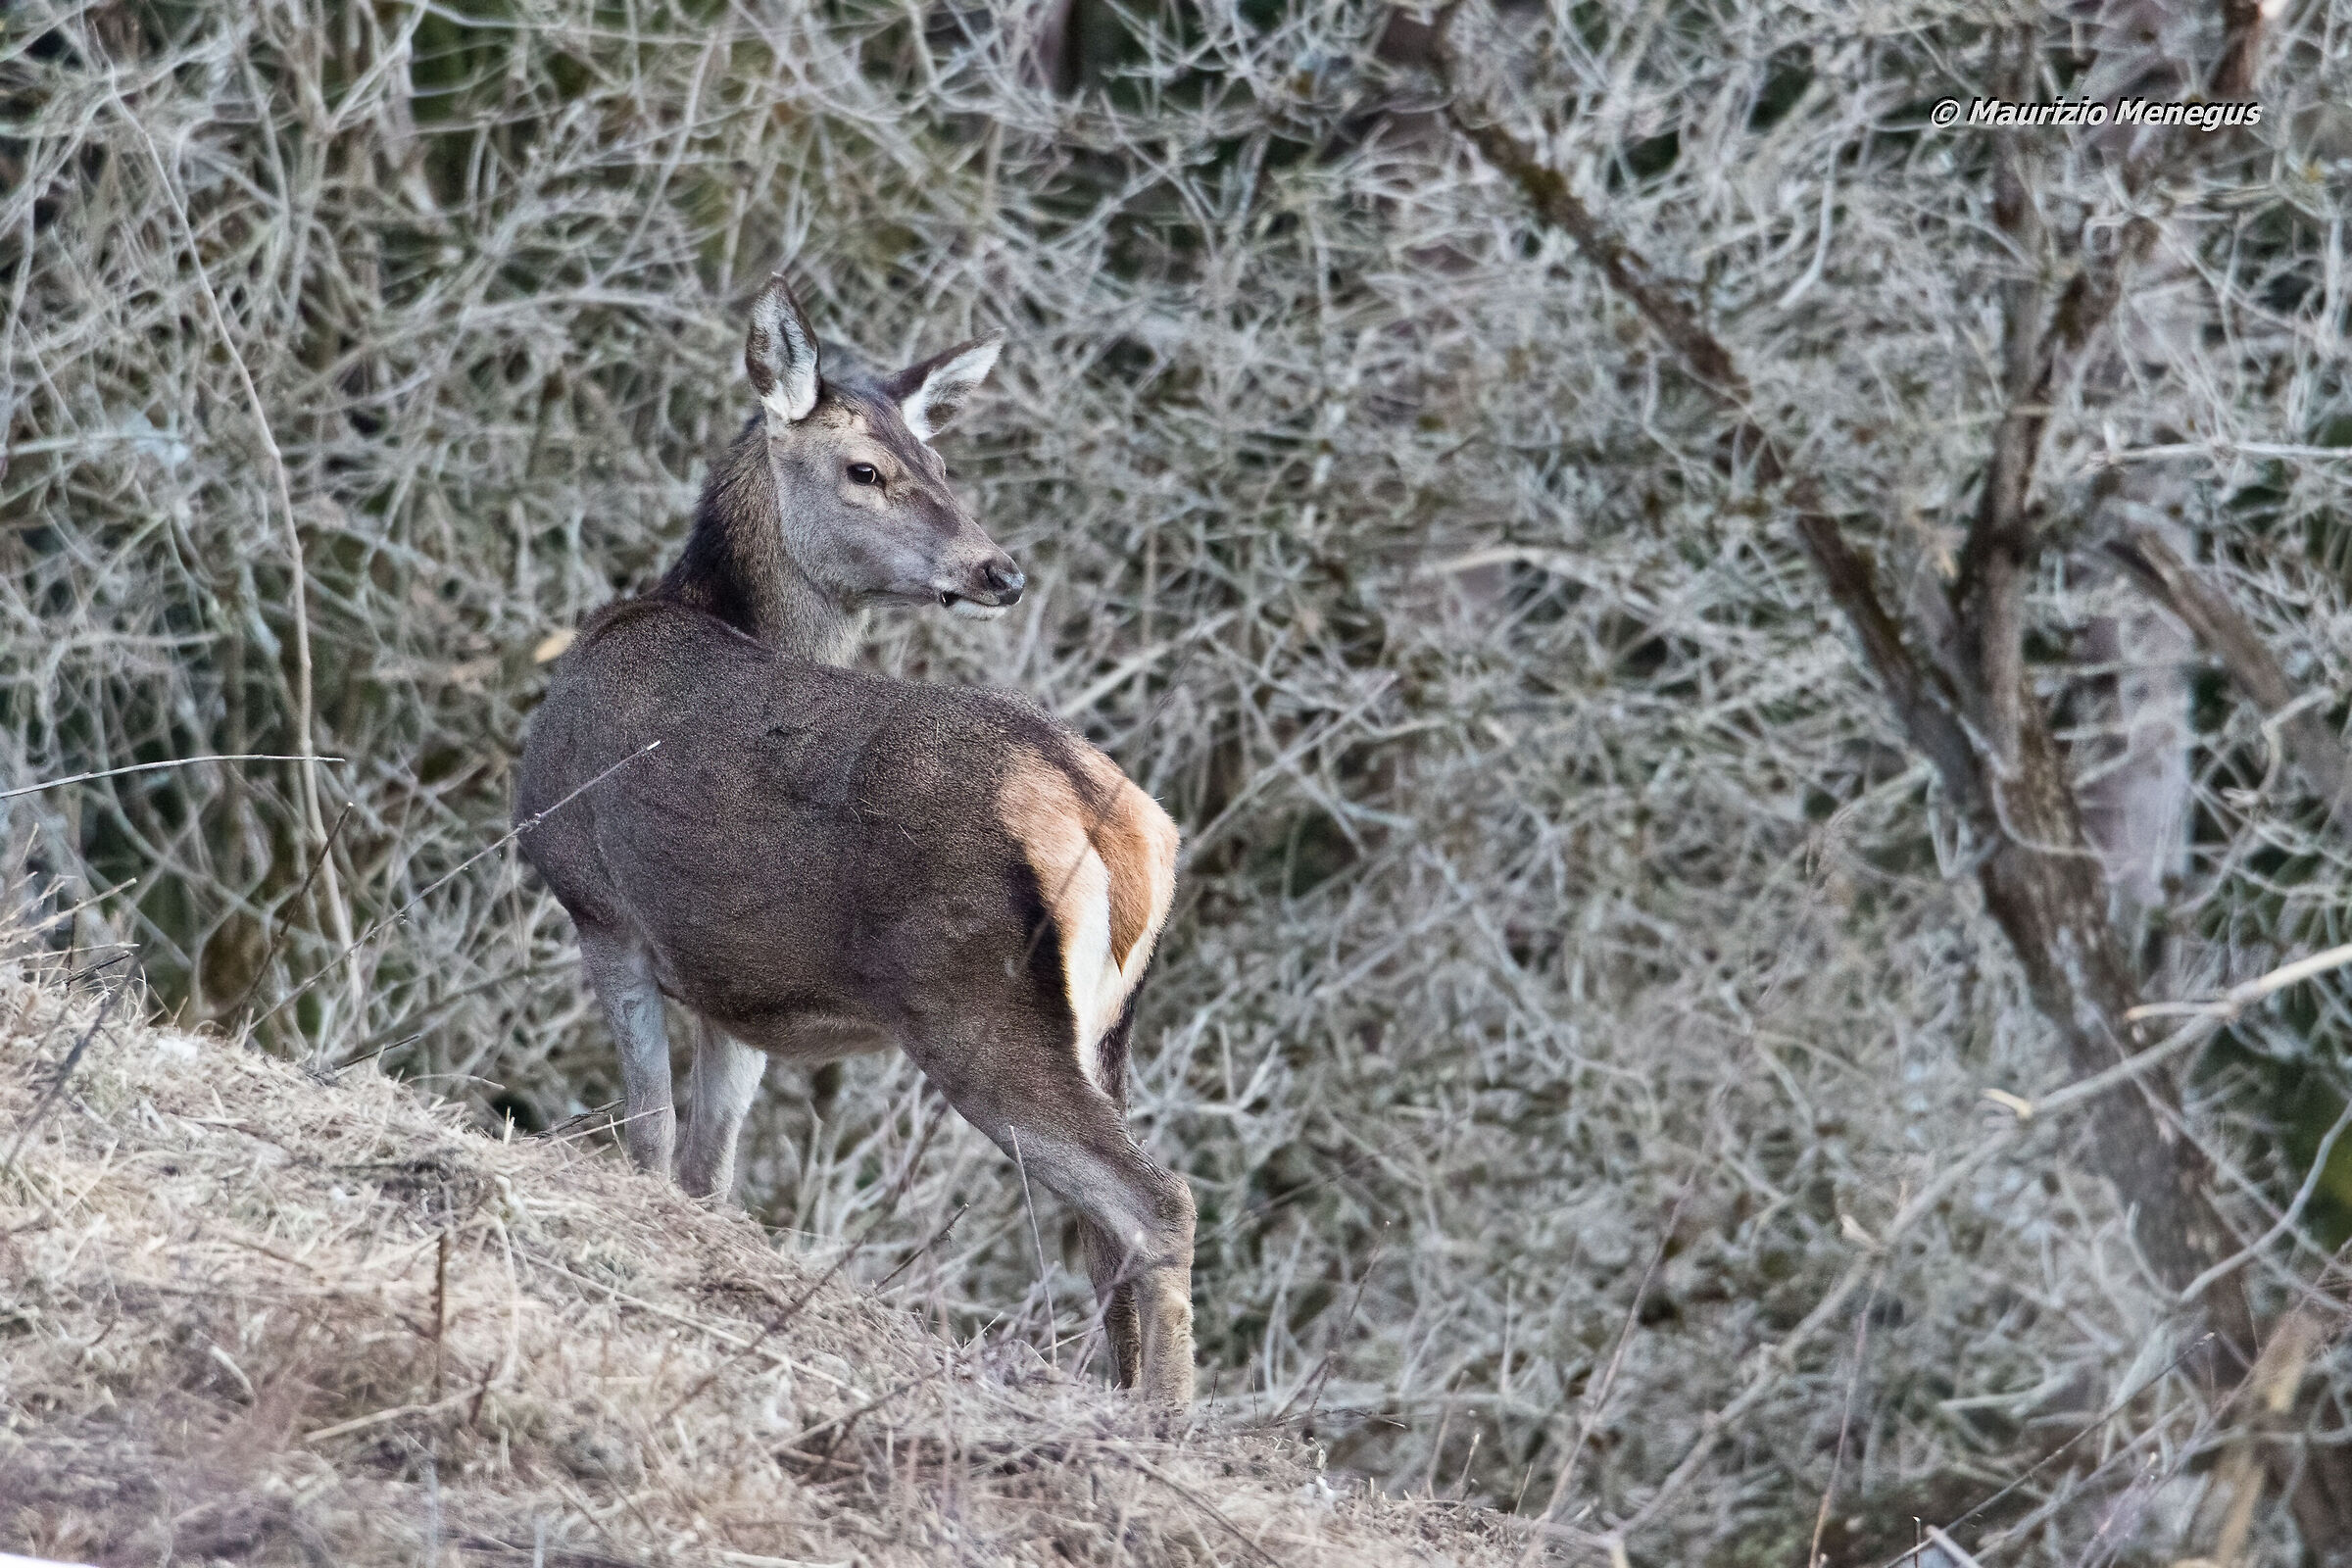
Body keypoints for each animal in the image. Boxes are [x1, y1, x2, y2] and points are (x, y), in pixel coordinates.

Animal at [524, 275, 1203, 1400]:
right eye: (870, 468)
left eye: (940, 463)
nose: (999, 570)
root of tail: (1113, 822)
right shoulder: (738, 987)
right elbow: (707, 1169)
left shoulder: (598, 900)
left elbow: (650, 1140)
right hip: (1107, 1031)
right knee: (1108, 1236)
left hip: (973, 1005)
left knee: (1157, 1203)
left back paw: (1169, 1421)